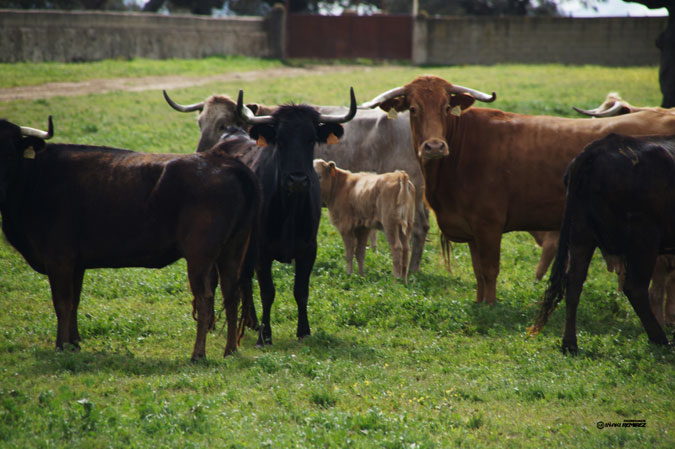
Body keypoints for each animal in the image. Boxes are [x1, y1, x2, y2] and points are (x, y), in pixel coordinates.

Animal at [0, 117, 260, 358]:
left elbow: (62, 304)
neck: (37, 178)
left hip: (200, 257)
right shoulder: (76, 263)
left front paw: (60, 346)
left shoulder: (59, 259)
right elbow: (74, 301)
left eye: (10, 151)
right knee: (231, 295)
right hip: (232, 252)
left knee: (205, 299)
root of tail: (224, 163)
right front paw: (73, 343)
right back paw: (230, 350)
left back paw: (198, 354)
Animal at [364, 75, 675, 304]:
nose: (434, 146)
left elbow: (489, 269)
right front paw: (480, 303)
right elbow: (478, 271)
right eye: (413, 109)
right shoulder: (473, 229)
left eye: (445, 107)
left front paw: (490, 306)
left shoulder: (488, 225)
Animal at [532, 133, 675, 354]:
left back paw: (570, 344)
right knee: (635, 287)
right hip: (644, 239)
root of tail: (595, 150)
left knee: (573, 283)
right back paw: (660, 339)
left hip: (580, 235)